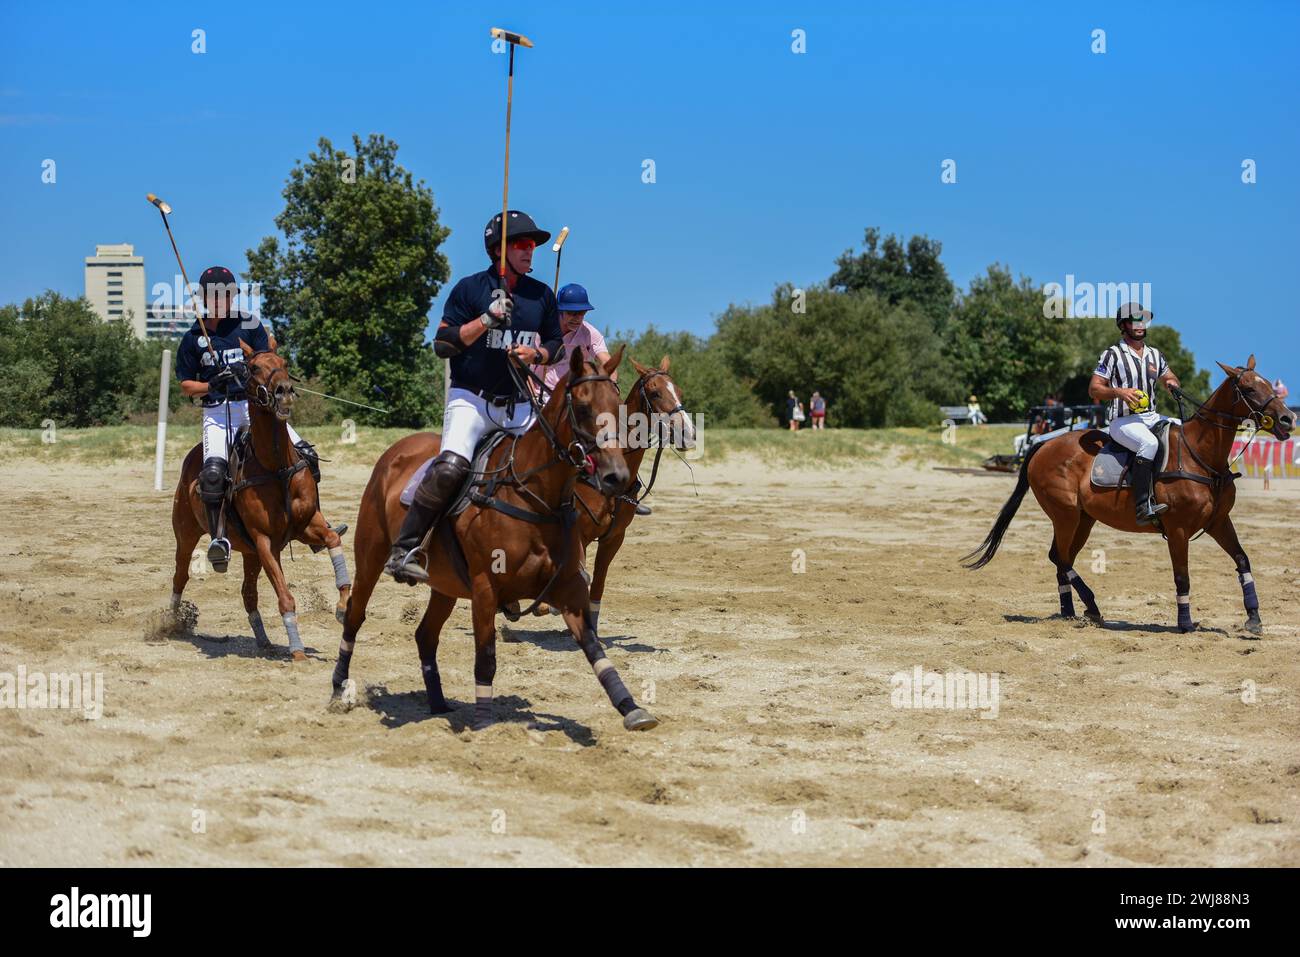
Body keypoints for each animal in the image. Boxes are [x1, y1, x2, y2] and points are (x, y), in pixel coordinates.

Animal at [170, 340, 351, 660]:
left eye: (284, 362)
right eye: (253, 367)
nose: (283, 390)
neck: (275, 466)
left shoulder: (306, 524)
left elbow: (332, 539)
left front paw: (342, 606)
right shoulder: (266, 541)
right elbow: (285, 596)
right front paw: (297, 650)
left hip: (249, 552)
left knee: (248, 593)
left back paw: (263, 639)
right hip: (187, 534)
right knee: (180, 577)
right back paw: (170, 623)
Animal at [335, 348, 660, 728]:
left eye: (619, 408)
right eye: (582, 408)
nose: (616, 477)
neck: (535, 496)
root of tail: (396, 449)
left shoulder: (568, 588)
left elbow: (596, 649)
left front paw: (632, 707)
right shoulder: (485, 588)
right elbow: (486, 659)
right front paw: (484, 726)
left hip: (444, 583)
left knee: (425, 635)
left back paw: (438, 703)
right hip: (370, 557)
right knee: (355, 615)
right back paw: (338, 689)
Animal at [961, 356, 1294, 631]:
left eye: (1268, 383)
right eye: (1249, 389)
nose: (1288, 418)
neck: (1201, 454)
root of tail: (1043, 445)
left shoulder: (1218, 521)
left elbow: (1242, 560)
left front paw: (1254, 618)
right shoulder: (1178, 529)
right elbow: (1182, 576)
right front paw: (1185, 623)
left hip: (1083, 519)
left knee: (1061, 558)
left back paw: (1071, 612)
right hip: (1065, 514)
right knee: (1060, 557)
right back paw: (1091, 606)